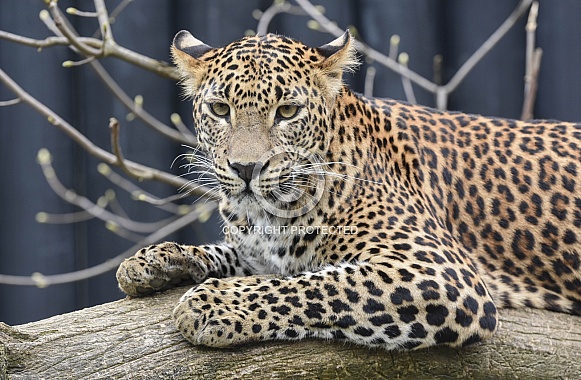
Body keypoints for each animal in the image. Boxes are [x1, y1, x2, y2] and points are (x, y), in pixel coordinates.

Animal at [114, 29, 580, 350]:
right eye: (219, 109)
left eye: (287, 111)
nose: (246, 168)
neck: (272, 213)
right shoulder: (259, 253)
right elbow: (232, 256)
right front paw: (156, 260)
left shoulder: (440, 272)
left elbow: (316, 285)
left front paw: (213, 304)